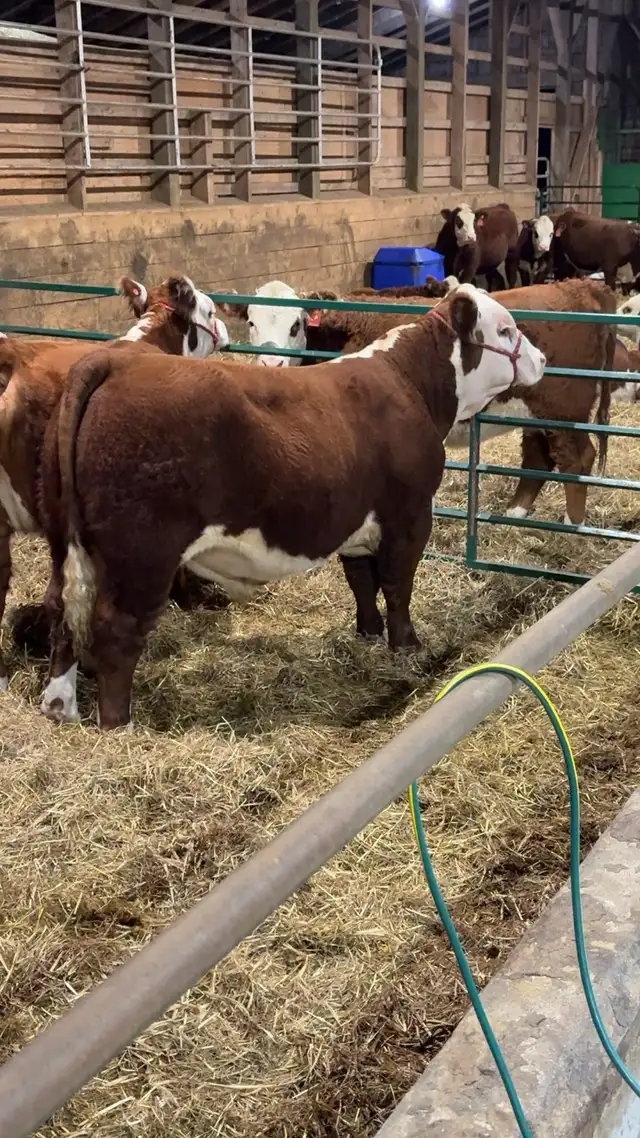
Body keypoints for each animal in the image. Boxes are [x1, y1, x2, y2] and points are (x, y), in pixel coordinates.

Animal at [37, 284, 545, 729]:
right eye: (504, 329)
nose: (541, 359)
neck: (408, 381)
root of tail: (114, 362)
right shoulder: (410, 513)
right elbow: (398, 584)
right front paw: (407, 646)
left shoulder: (357, 519)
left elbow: (362, 581)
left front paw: (368, 633)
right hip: (142, 555)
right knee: (117, 630)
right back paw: (117, 724)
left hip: (68, 544)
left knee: (63, 610)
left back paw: (59, 704)